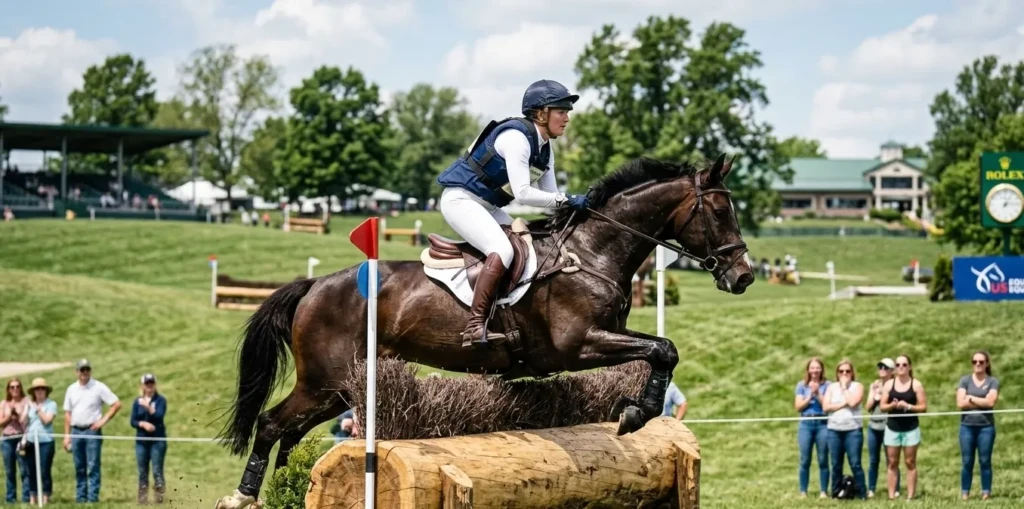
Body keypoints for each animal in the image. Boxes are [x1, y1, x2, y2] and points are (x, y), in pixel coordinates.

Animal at [213, 154, 755, 508]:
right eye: (720, 211)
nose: (744, 276)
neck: (592, 253)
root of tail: (314, 286)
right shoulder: (578, 345)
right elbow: (664, 349)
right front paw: (635, 415)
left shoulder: (600, 339)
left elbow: (661, 349)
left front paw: (637, 410)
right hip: (324, 381)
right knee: (272, 425)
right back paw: (241, 497)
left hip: (338, 389)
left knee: (289, 432)